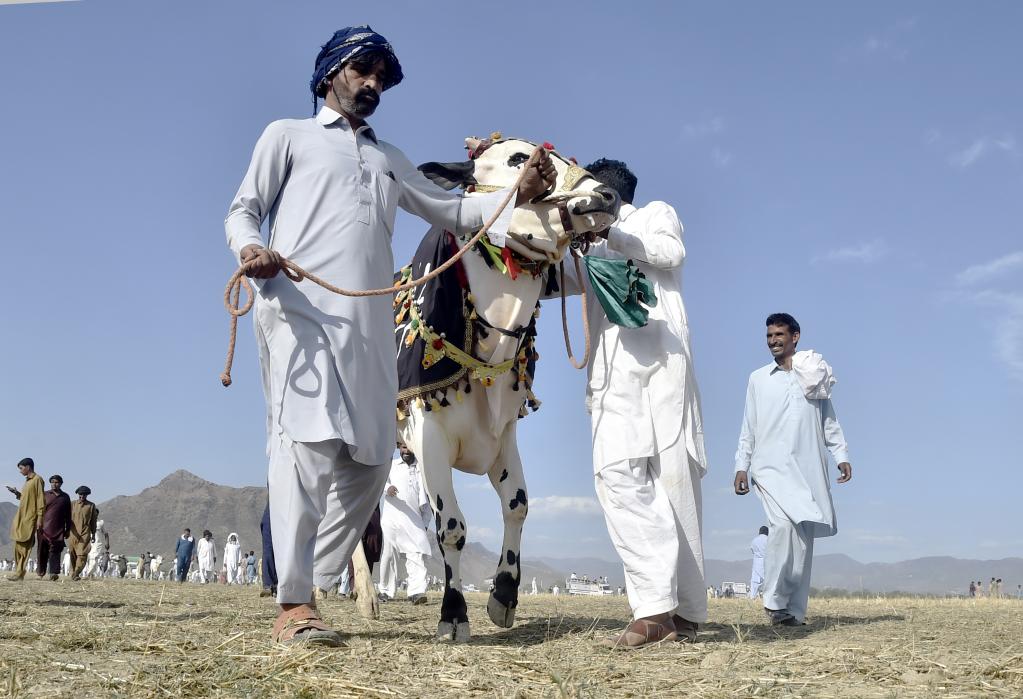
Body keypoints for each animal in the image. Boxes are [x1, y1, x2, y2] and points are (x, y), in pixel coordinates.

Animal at [388, 134, 613, 642]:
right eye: (518, 159)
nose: (607, 196)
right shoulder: (429, 437)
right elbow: (451, 527)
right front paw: (453, 613)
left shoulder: (503, 434)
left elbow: (518, 504)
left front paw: (504, 594)